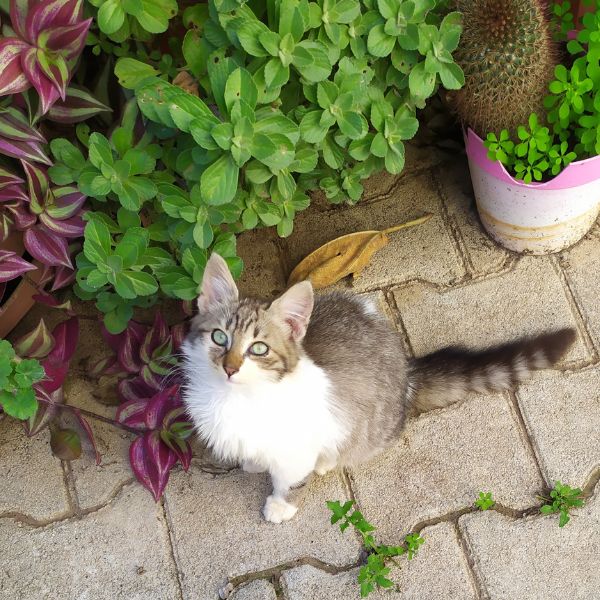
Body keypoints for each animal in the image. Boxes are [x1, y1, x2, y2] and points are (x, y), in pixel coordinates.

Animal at [183, 251, 576, 524]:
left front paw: (281, 505)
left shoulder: (299, 446)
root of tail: (407, 370)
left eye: (259, 349)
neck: (237, 399)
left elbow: (289, 480)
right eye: (220, 337)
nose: (230, 367)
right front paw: (252, 462)